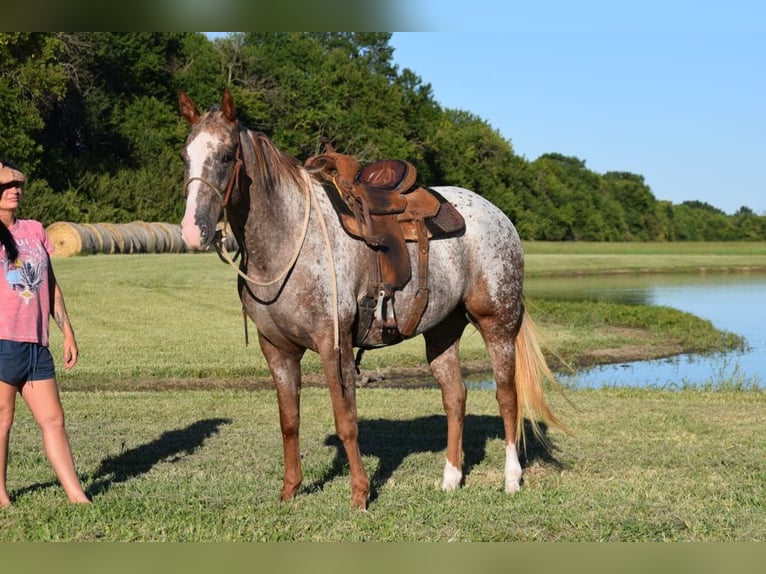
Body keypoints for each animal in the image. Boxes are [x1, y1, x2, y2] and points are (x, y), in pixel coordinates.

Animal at [178, 88, 564, 510]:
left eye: (226, 155)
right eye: (185, 155)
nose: (192, 231)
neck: (288, 239)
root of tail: (499, 216)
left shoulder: (334, 345)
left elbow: (346, 421)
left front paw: (360, 493)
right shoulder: (277, 349)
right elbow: (289, 421)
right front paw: (290, 489)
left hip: (497, 322)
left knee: (506, 395)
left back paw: (511, 478)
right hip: (442, 330)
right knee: (455, 396)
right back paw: (450, 478)